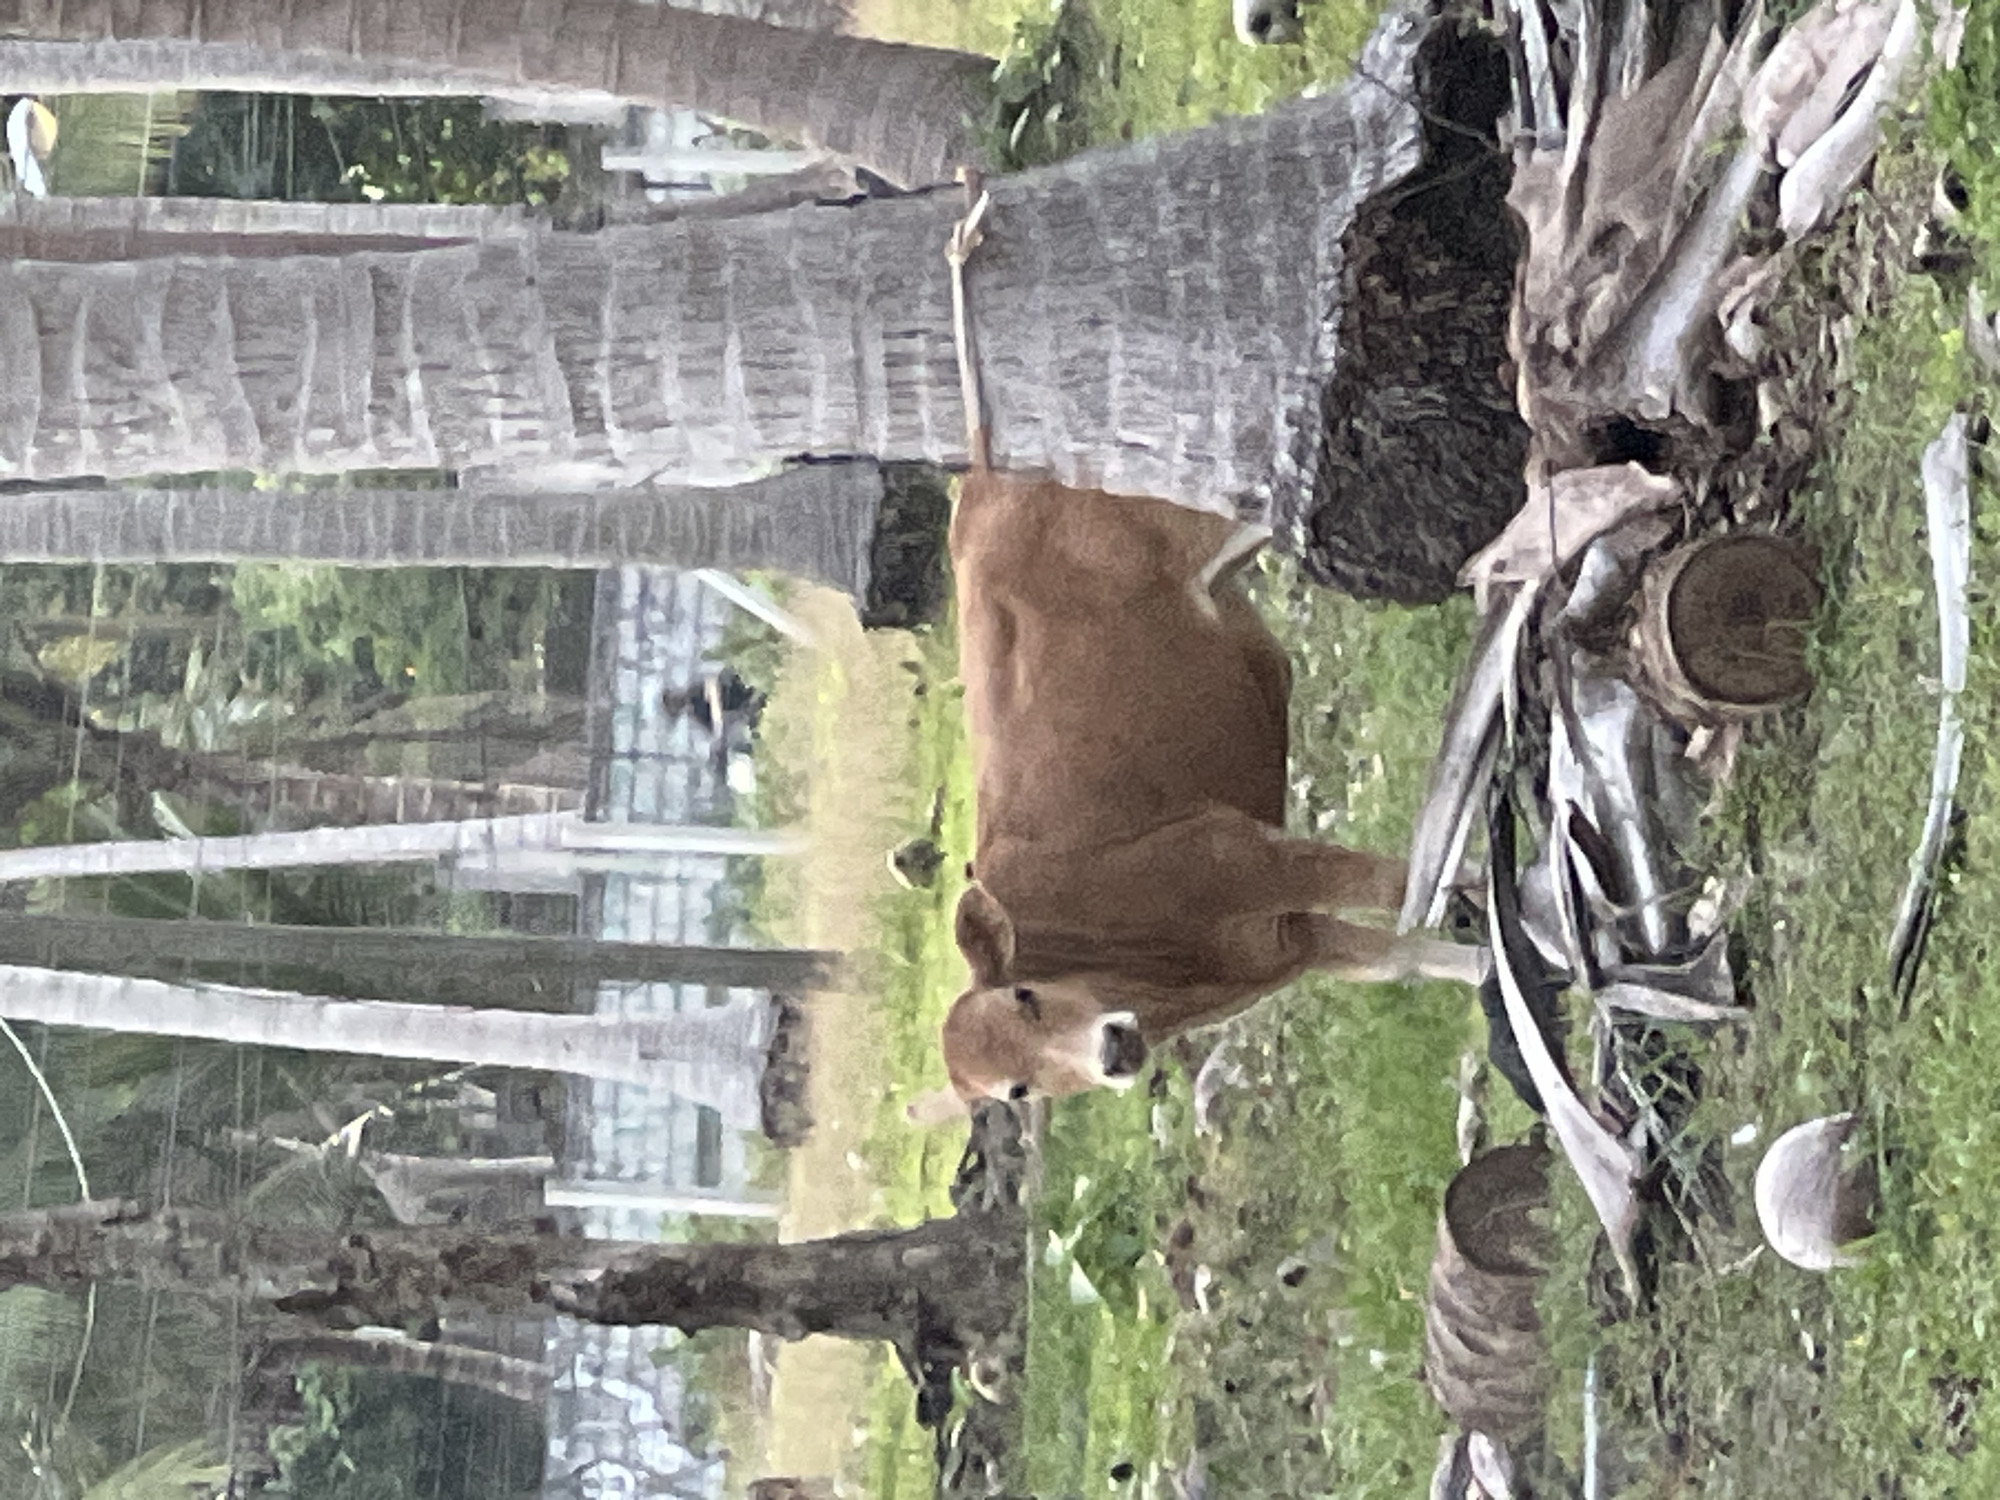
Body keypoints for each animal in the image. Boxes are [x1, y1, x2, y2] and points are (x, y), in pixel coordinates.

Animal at [926, 473, 1484, 1113]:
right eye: (1017, 1089)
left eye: (1025, 996)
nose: (1111, 1051)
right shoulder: (1290, 938)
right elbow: (1404, 958)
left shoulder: (1245, 856)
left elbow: (1406, 884)